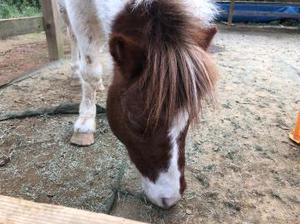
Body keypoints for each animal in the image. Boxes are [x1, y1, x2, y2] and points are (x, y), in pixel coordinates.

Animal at [58, 0, 218, 209]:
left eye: (188, 119)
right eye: (134, 121)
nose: (170, 197)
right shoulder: (78, 10)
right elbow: (90, 71)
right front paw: (85, 123)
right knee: (73, 38)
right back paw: (74, 73)